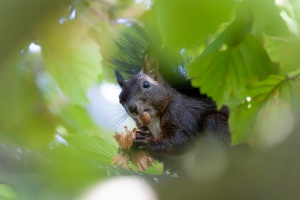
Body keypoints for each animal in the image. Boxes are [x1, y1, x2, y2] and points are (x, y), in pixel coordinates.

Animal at [110, 24, 230, 172]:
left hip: (217, 126)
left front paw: (148, 142)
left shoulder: (181, 112)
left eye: (145, 84)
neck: (154, 118)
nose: (132, 108)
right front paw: (131, 145)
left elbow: (182, 139)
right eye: (120, 100)